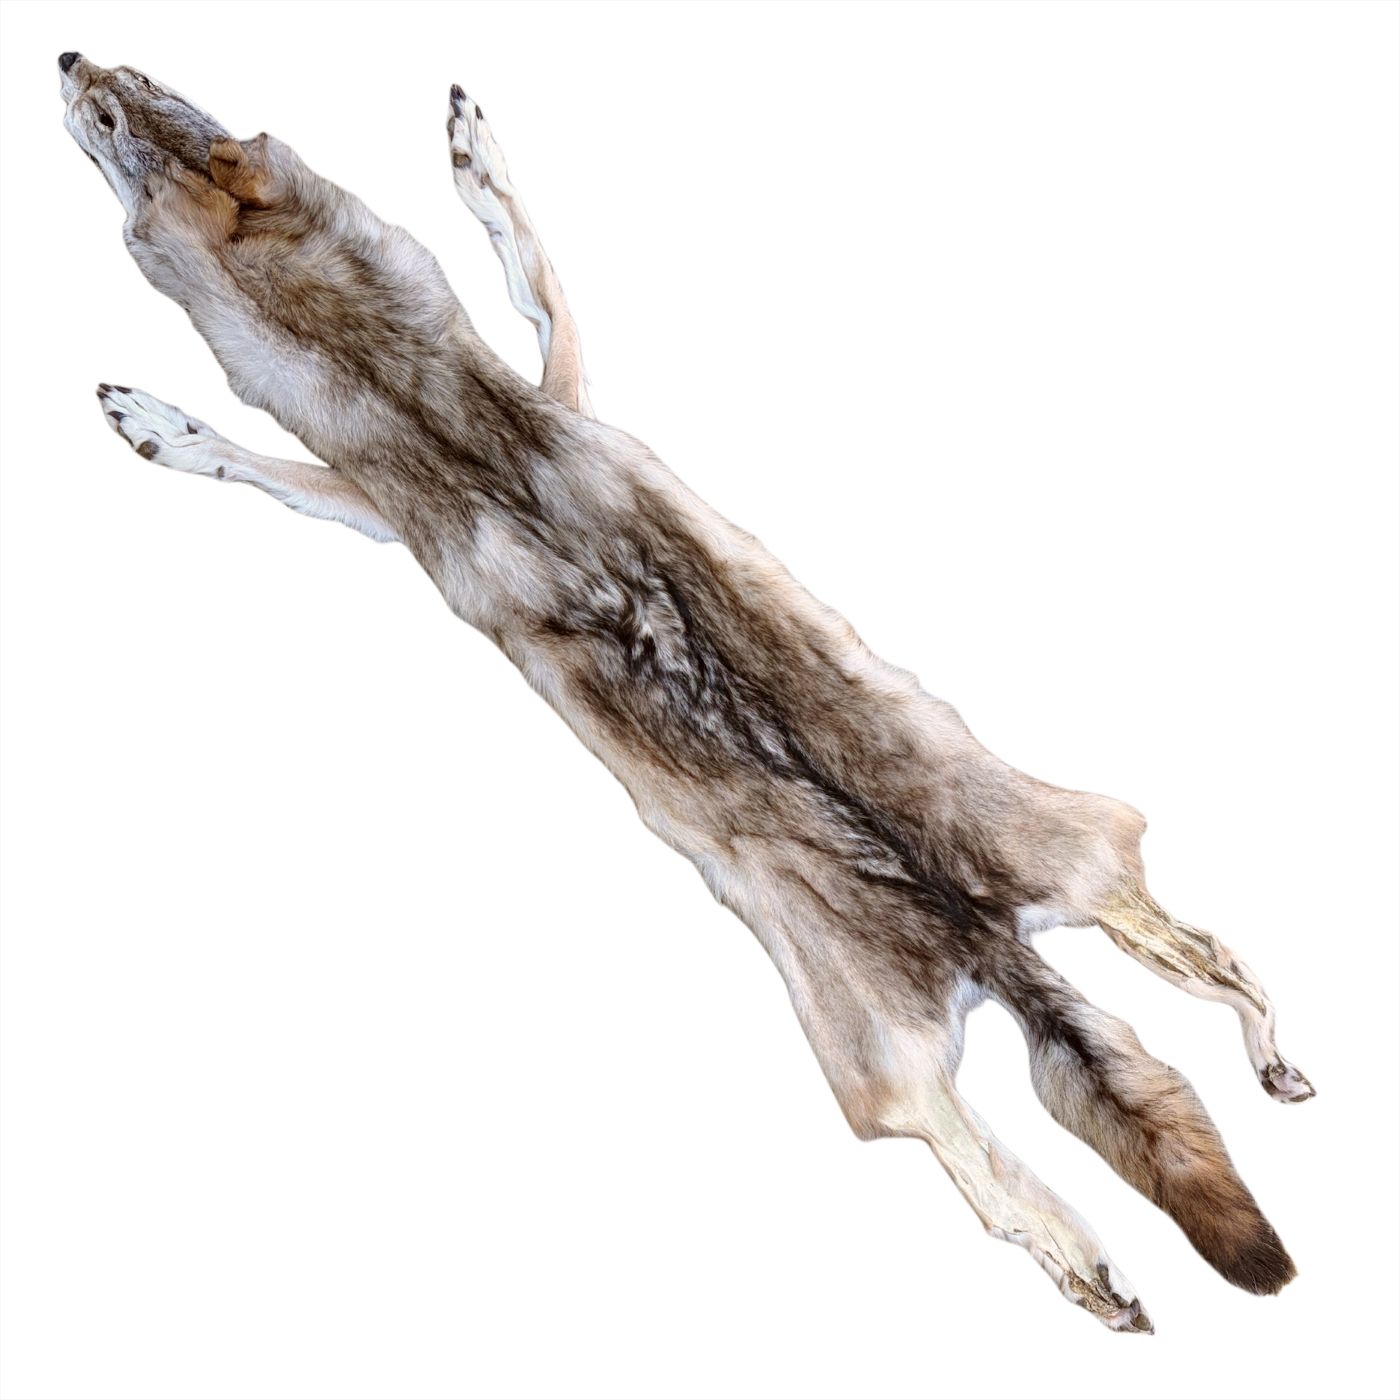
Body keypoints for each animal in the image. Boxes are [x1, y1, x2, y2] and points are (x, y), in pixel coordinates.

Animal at [58, 51, 1313, 1332]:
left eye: (119, 112)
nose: (68, 59)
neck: (401, 383)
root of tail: (984, 941)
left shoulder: (495, 429)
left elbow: (520, 272)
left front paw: (466, 153)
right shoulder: (487, 438)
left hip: (876, 1029)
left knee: (973, 1154)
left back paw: (1092, 1266)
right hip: (1054, 858)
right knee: (1196, 957)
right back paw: (1262, 1073)